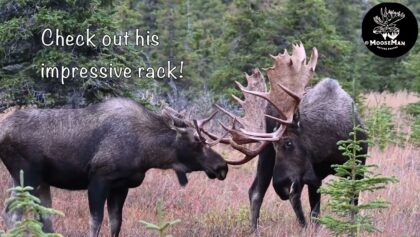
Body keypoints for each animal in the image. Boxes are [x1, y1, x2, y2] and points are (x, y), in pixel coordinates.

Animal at [0, 99, 228, 236]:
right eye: (197, 141)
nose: (222, 166)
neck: (147, 151)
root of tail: (2, 130)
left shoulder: (121, 186)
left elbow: (116, 223)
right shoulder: (99, 179)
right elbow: (95, 222)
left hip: (40, 181)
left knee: (41, 216)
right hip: (27, 175)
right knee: (13, 213)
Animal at [198, 43, 368, 229]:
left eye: (288, 143)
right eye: (275, 146)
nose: (280, 186)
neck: (330, 145)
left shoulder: (357, 168)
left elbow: (351, 209)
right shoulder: (313, 176)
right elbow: (315, 213)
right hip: (267, 156)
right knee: (257, 192)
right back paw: (256, 229)